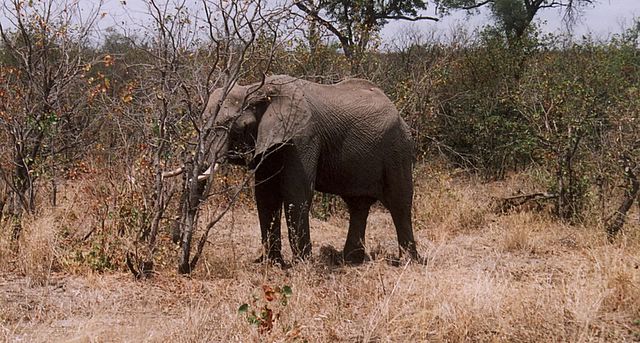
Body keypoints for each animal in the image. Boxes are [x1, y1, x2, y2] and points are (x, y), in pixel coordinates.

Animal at [204, 75, 420, 266]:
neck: (258, 88)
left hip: (398, 150)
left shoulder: (303, 137)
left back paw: (408, 262)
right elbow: (266, 195)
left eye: (235, 127)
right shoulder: (269, 140)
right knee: (358, 205)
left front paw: (301, 264)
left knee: (399, 202)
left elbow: (296, 191)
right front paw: (272, 264)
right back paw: (350, 260)